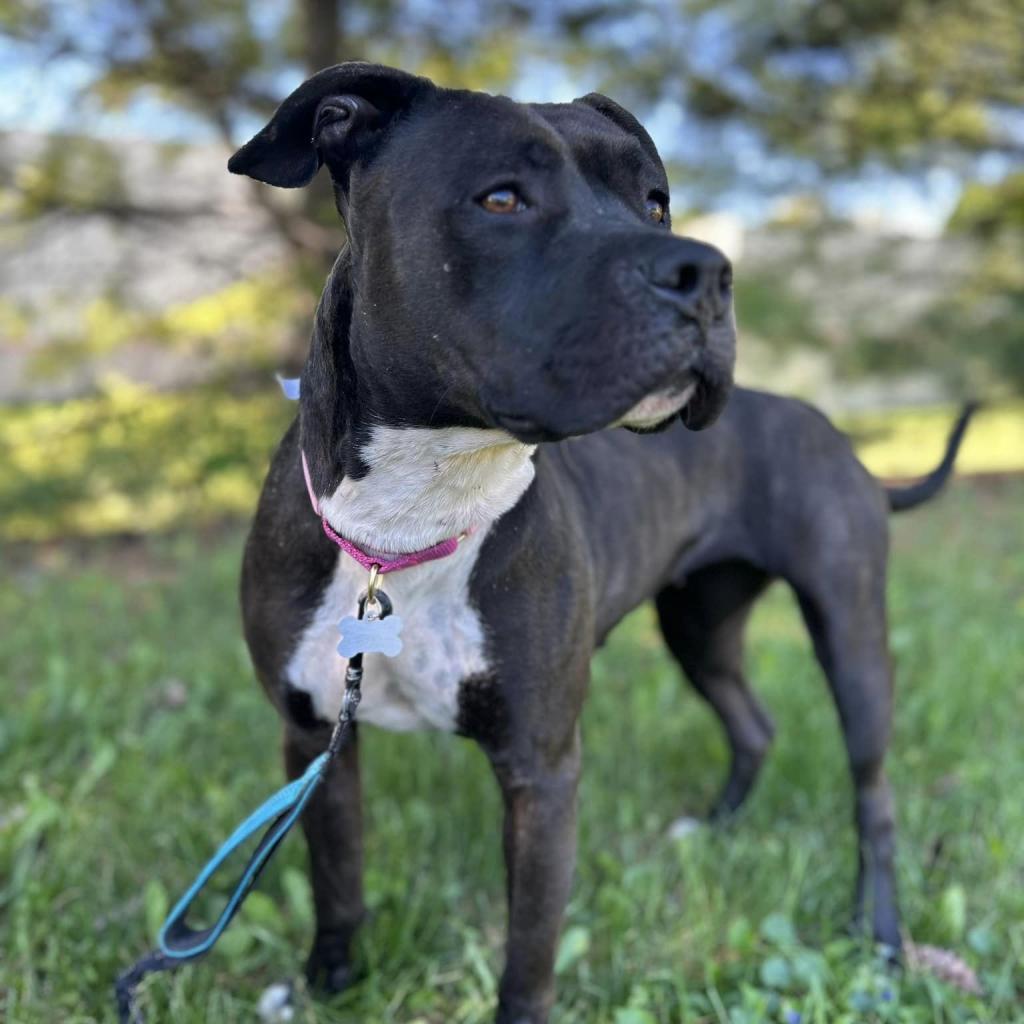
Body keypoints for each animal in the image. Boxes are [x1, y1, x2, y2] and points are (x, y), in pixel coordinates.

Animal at [234, 64, 958, 1024]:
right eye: (503, 197)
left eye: (655, 203)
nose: (707, 273)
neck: (405, 525)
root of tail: (842, 438)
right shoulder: (314, 736)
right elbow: (336, 875)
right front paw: (329, 984)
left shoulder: (542, 770)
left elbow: (529, 955)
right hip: (699, 625)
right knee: (753, 722)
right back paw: (715, 827)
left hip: (850, 630)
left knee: (872, 794)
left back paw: (878, 933)